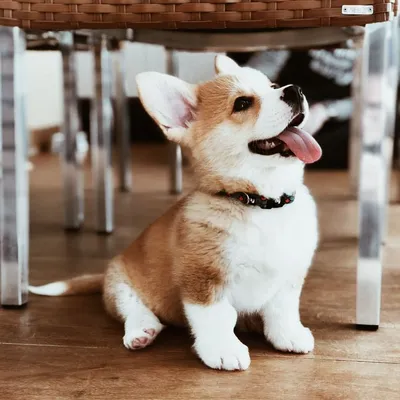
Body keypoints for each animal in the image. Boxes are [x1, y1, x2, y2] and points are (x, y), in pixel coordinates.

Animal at [29, 54, 322, 370]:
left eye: (273, 86)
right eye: (242, 103)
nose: (296, 90)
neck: (260, 202)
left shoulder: (289, 277)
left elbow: (282, 310)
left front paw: (289, 335)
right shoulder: (202, 280)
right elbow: (217, 317)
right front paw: (223, 349)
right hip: (121, 284)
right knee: (133, 309)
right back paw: (141, 330)